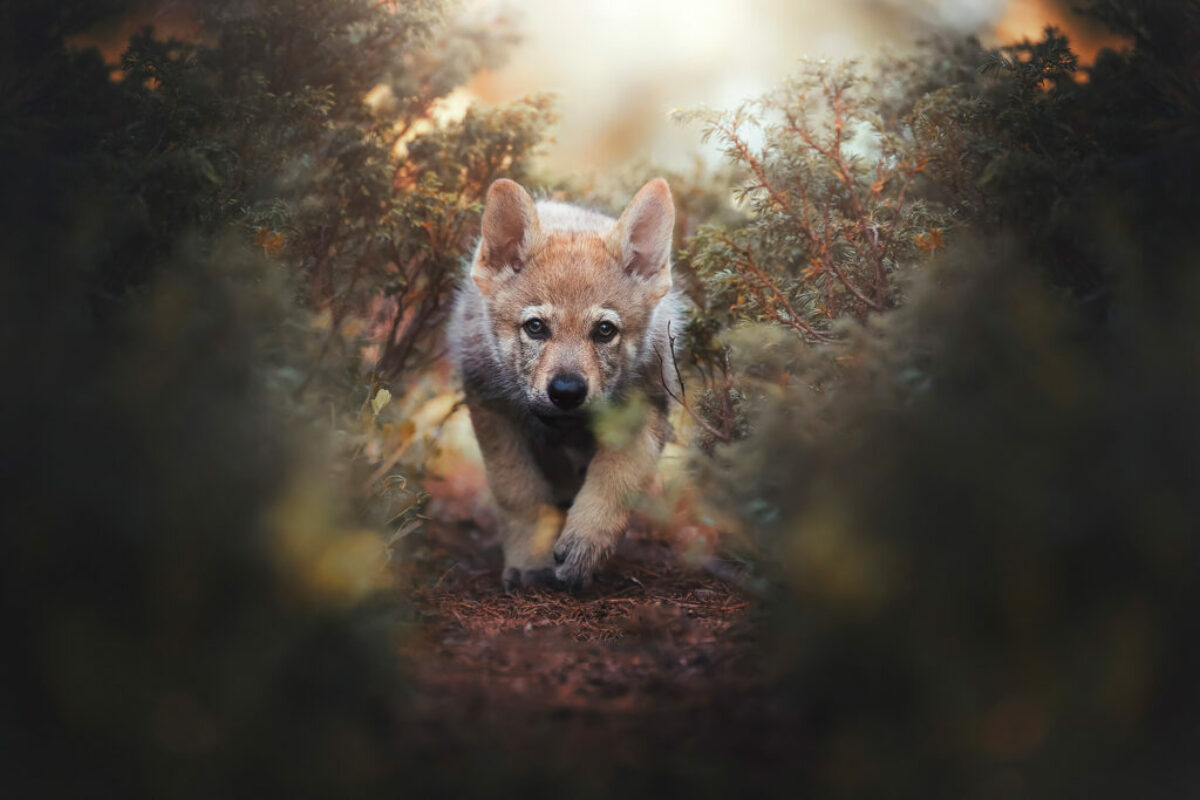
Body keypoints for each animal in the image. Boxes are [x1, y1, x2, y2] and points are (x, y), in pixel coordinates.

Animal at [448, 178, 681, 592]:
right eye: (535, 327)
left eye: (604, 330)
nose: (567, 392)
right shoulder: (492, 410)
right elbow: (518, 491)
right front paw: (530, 559)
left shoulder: (645, 413)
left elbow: (614, 483)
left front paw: (584, 544)